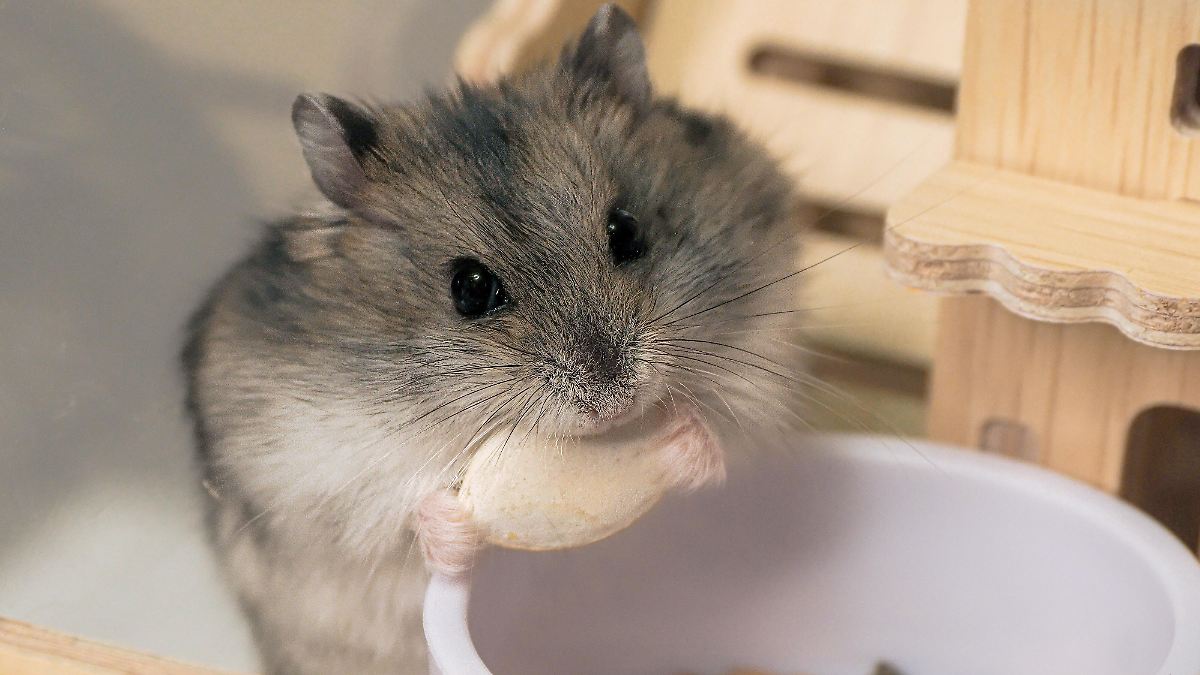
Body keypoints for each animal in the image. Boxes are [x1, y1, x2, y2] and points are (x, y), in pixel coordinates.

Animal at [183, 5, 803, 674]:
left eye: (627, 231)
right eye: (470, 289)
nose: (613, 402)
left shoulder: (763, 367)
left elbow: (724, 440)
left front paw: (685, 433)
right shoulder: (310, 474)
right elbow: (400, 515)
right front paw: (456, 529)